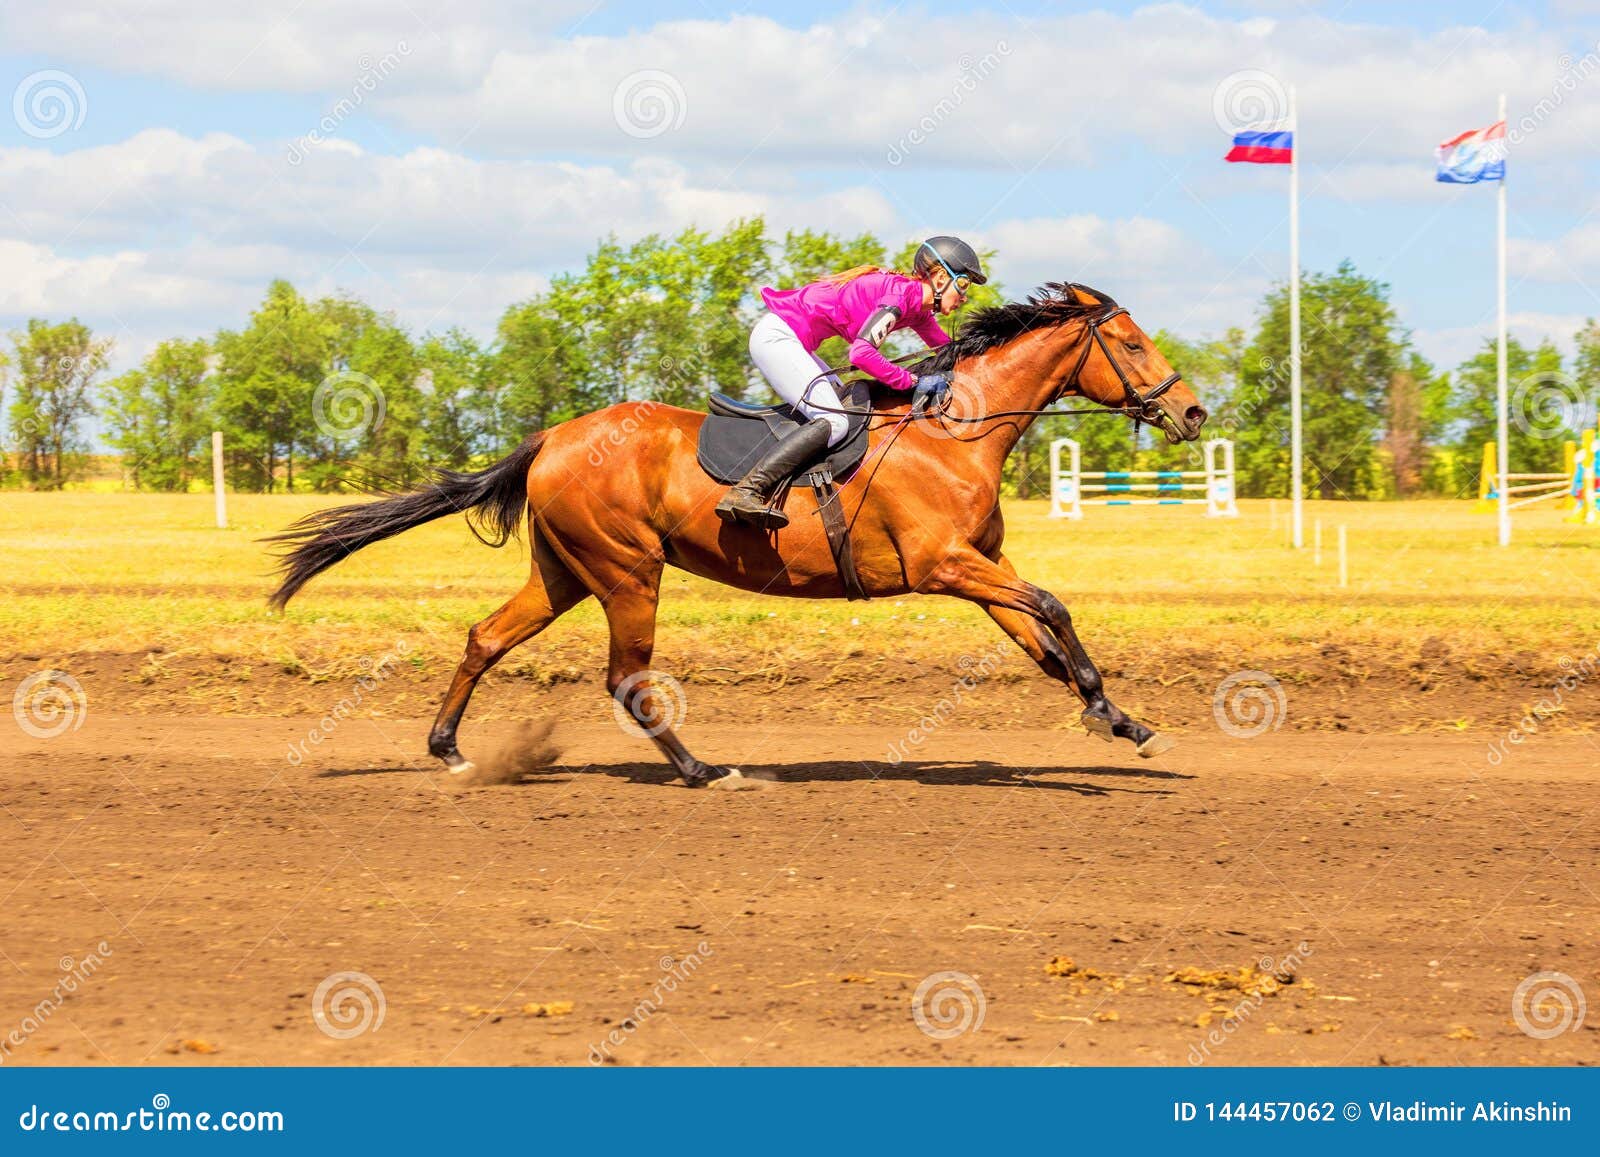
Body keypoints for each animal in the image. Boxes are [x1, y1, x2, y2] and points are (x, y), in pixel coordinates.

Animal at [268, 281, 1203, 787]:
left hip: (565, 571)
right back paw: (702, 769)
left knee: (486, 636)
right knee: (627, 677)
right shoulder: (945, 564)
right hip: (628, 571)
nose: (1193, 412)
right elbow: (1053, 607)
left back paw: (449, 750)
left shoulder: (979, 564)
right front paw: (1107, 708)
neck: (954, 431)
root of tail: (553, 436)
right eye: (1130, 342)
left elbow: (1039, 636)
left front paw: (1119, 718)